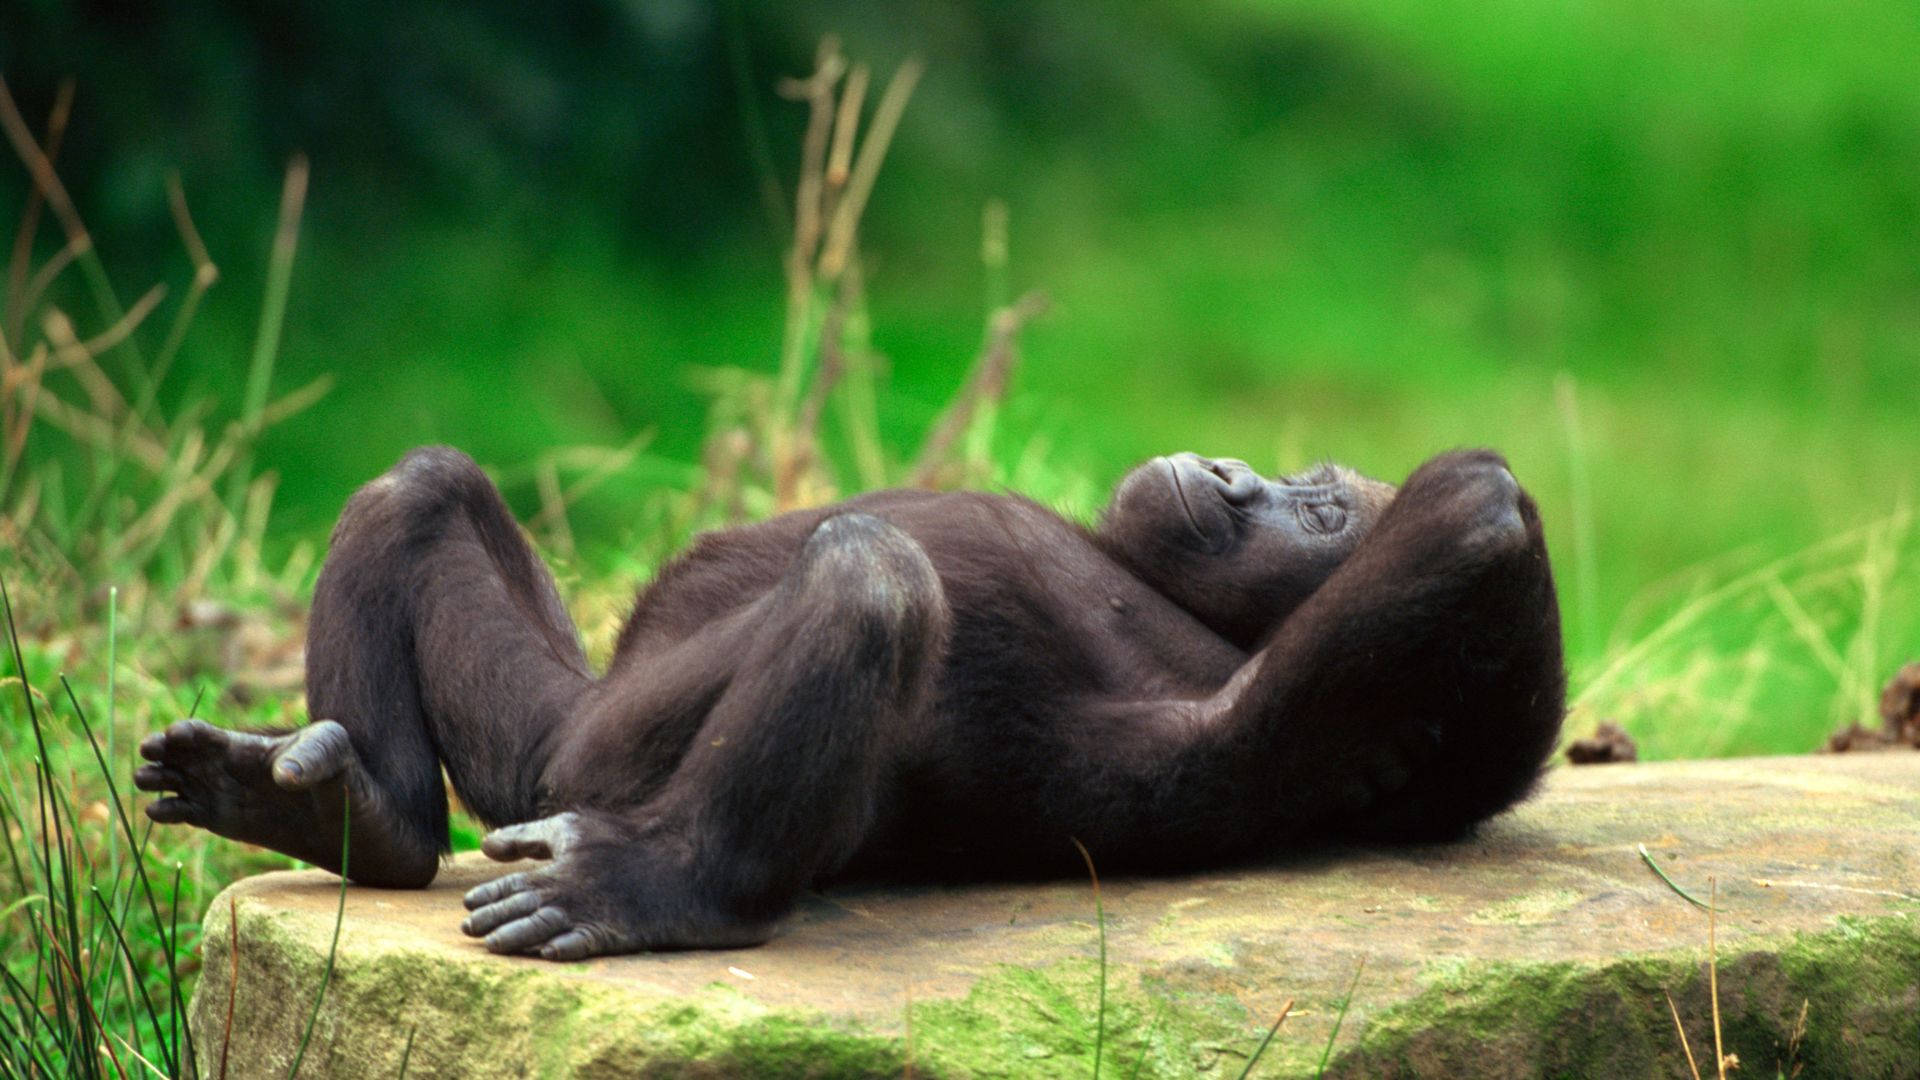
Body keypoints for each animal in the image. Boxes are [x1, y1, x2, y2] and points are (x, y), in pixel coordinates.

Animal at [142, 441, 1566, 953]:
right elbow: (1484, 524)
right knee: (422, 490)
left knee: (875, 579)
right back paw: (358, 818)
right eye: (1293, 475)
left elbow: (1479, 512)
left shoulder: (1210, 723)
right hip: (533, 747)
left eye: (1322, 510)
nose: (1227, 470)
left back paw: (661, 890)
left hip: (585, 761)